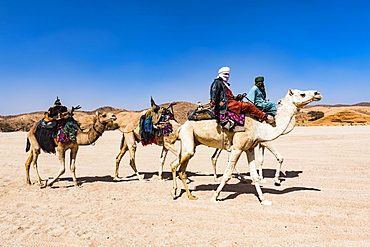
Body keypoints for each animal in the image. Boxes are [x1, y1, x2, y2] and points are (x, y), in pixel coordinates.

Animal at [172, 89, 322, 205]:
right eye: (302, 94)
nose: (317, 93)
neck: (259, 127)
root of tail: (182, 126)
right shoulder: (238, 148)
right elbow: (227, 174)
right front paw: (214, 197)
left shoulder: (250, 148)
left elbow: (254, 175)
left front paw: (263, 200)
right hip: (189, 140)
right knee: (178, 165)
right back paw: (176, 192)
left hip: (191, 143)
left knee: (179, 167)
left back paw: (187, 195)